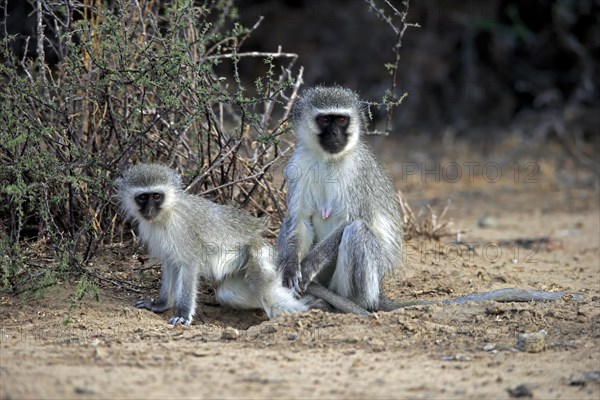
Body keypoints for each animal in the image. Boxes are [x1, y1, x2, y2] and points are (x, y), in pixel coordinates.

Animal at [115, 163, 308, 324]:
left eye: (156, 196)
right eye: (142, 197)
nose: (148, 210)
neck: (167, 213)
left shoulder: (182, 232)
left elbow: (189, 266)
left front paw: (183, 314)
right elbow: (170, 263)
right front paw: (160, 304)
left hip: (261, 254)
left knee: (264, 290)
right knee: (228, 293)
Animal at [278, 86, 404, 310]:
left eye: (342, 120)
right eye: (325, 120)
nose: (335, 133)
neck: (329, 160)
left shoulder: (358, 172)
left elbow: (351, 220)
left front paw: (308, 265)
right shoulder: (298, 164)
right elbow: (299, 219)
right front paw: (291, 269)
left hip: (377, 270)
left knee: (357, 231)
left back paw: (352, 303)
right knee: (289, 222)